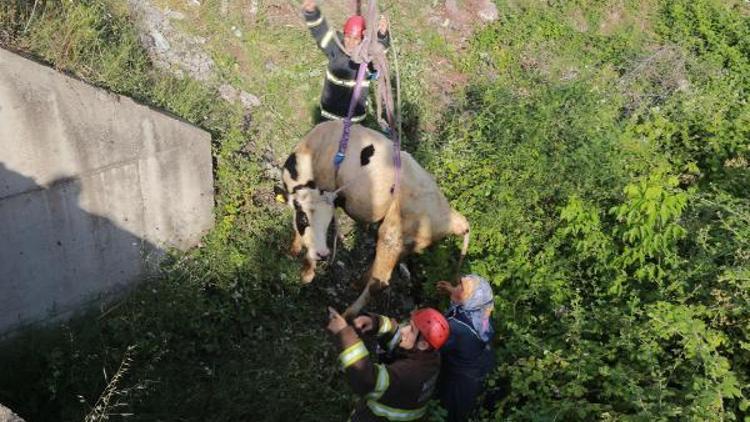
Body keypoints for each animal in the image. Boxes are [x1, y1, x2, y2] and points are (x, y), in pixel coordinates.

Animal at [280, 119, 470, 316]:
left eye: (324, 224)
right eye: (304, 219)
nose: (321, 255)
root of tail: (453, 217)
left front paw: (306, 274)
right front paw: (294, 250)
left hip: (392, 235)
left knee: (380, 282)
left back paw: (347, 314)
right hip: (407, 243)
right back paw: (357, 283)